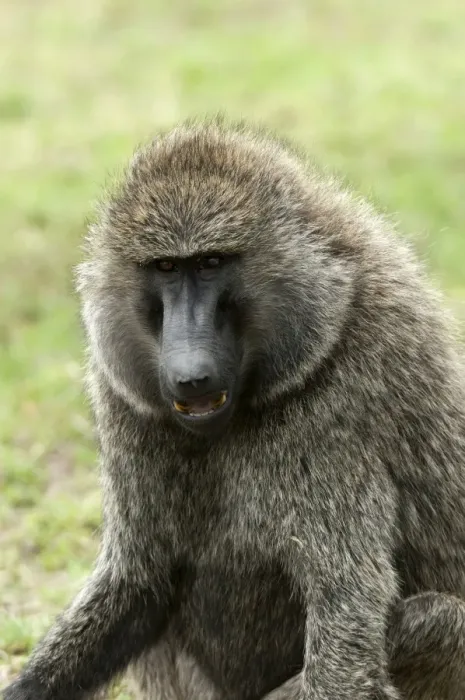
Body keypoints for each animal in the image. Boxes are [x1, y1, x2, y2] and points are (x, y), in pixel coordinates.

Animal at [3, 119, 465, 700]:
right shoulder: (123, 395)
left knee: (440, 621)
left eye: (211, 263)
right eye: (165, 267)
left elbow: (346, 616)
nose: (189, 372)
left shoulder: (346, 405)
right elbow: (139, 582)